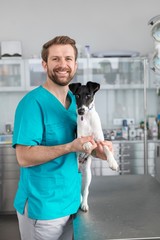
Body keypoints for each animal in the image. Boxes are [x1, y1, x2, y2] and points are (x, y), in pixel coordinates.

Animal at [69, 81, 119, 212]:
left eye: (88, 95)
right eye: (77, 95)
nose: (80, 111)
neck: (87, 119)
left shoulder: (100, 141)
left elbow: (106, 149)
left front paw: (113, 163)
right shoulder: (78, 137)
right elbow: (84, 140)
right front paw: (86, 143)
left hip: (88, 175)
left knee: (85, 190)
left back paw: (84, 204)